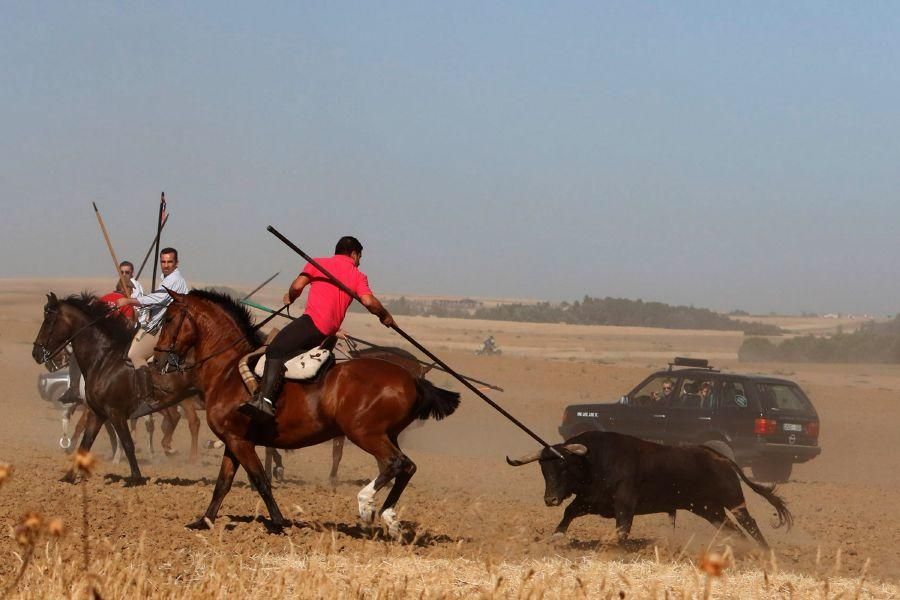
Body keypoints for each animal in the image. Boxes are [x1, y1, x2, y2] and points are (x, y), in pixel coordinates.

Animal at [33, 292, 200, 486]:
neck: (104, 359)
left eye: (49, 320)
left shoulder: (115, 412)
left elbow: (127, 443)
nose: (36, 353)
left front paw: (135, 478)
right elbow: (85, 443)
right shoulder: (98, 412)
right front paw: (69, 476)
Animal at [154, 290, 458, 536]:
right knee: (405, 467)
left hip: (365, 433)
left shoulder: (240, 442)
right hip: (386, 435)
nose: (157, 359)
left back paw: (366, 503)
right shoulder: (234, 440)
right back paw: (389, 517)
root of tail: (413, 378)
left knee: (397, 463)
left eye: (168, 319)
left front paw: (278, 523)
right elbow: (223, 484)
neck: (228, 372)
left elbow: (261, 481)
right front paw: (203, 521)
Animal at [510, 432, 792, 548]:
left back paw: (764, 551)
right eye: (544, 469)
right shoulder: (590, 501)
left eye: (564, 466)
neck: (594, 461)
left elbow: (622, 531)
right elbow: (569, 512)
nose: (550, 499)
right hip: (709, 509)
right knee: (732, 529)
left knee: (749, 523)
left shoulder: (625, 506)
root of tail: (721, 458)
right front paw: (556, 536)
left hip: (732, 500)